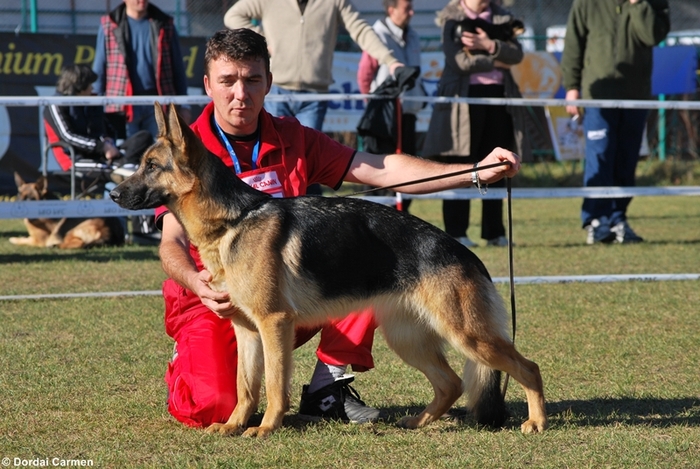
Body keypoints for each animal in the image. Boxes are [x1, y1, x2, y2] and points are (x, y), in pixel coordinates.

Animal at [110, 103, 548, 438]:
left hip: (467, 336)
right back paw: (418, 421)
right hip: (408, 339)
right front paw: (234, 425)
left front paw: (265, 429)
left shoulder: (273, 325)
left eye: (151, 166)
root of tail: (466, 254)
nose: (112, 193)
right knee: (452, 383)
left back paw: (537, 422)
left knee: (527, 368)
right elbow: (245, 387)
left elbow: (273, 386)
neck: (234, 218)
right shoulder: (247, 330)